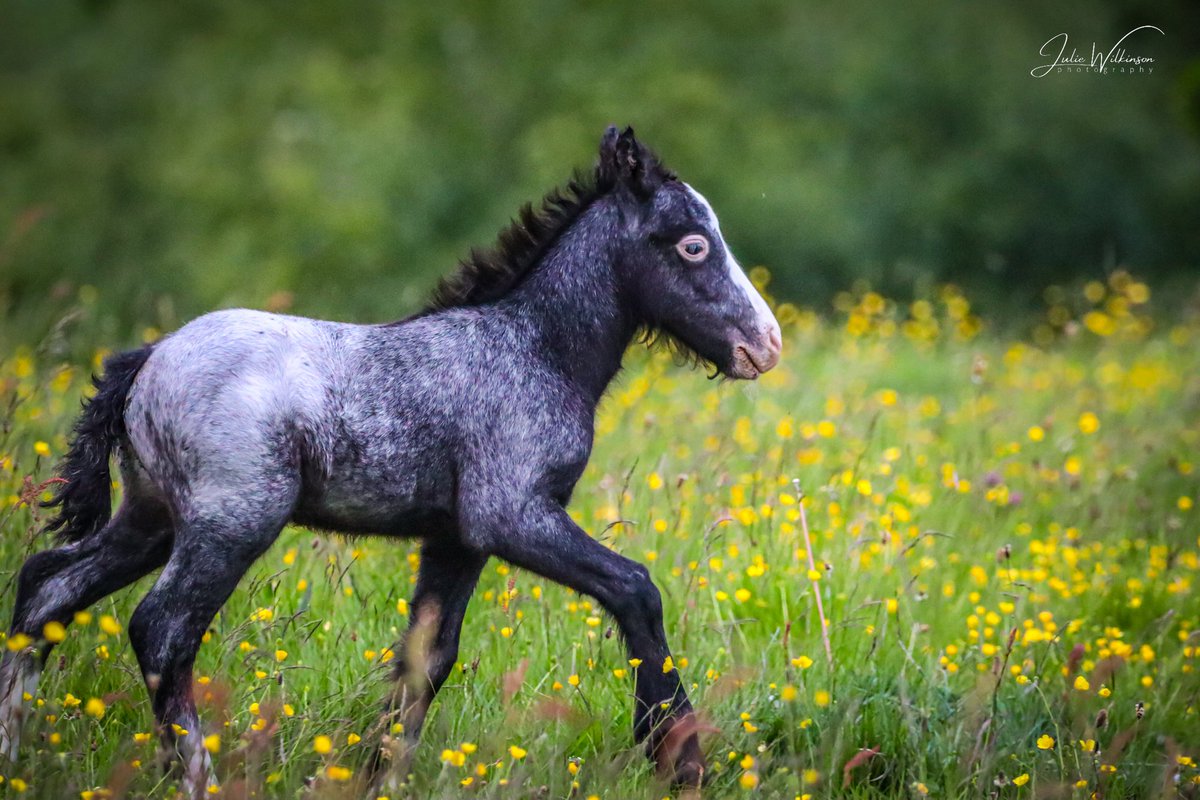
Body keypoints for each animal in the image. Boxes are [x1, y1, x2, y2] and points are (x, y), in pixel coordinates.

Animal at [0, 126, 782, 796]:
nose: (765, 345)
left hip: (151, 517)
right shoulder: (512, 513)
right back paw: (199, 781)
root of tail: (147, 359)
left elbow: (423, 661)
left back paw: (15, 752)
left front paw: (375, 778)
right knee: (160, 630)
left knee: (46, 587)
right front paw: (677, 756)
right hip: (230, 522)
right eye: (691, 246)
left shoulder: (458, 538)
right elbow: (634, 588)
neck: (533, 348)